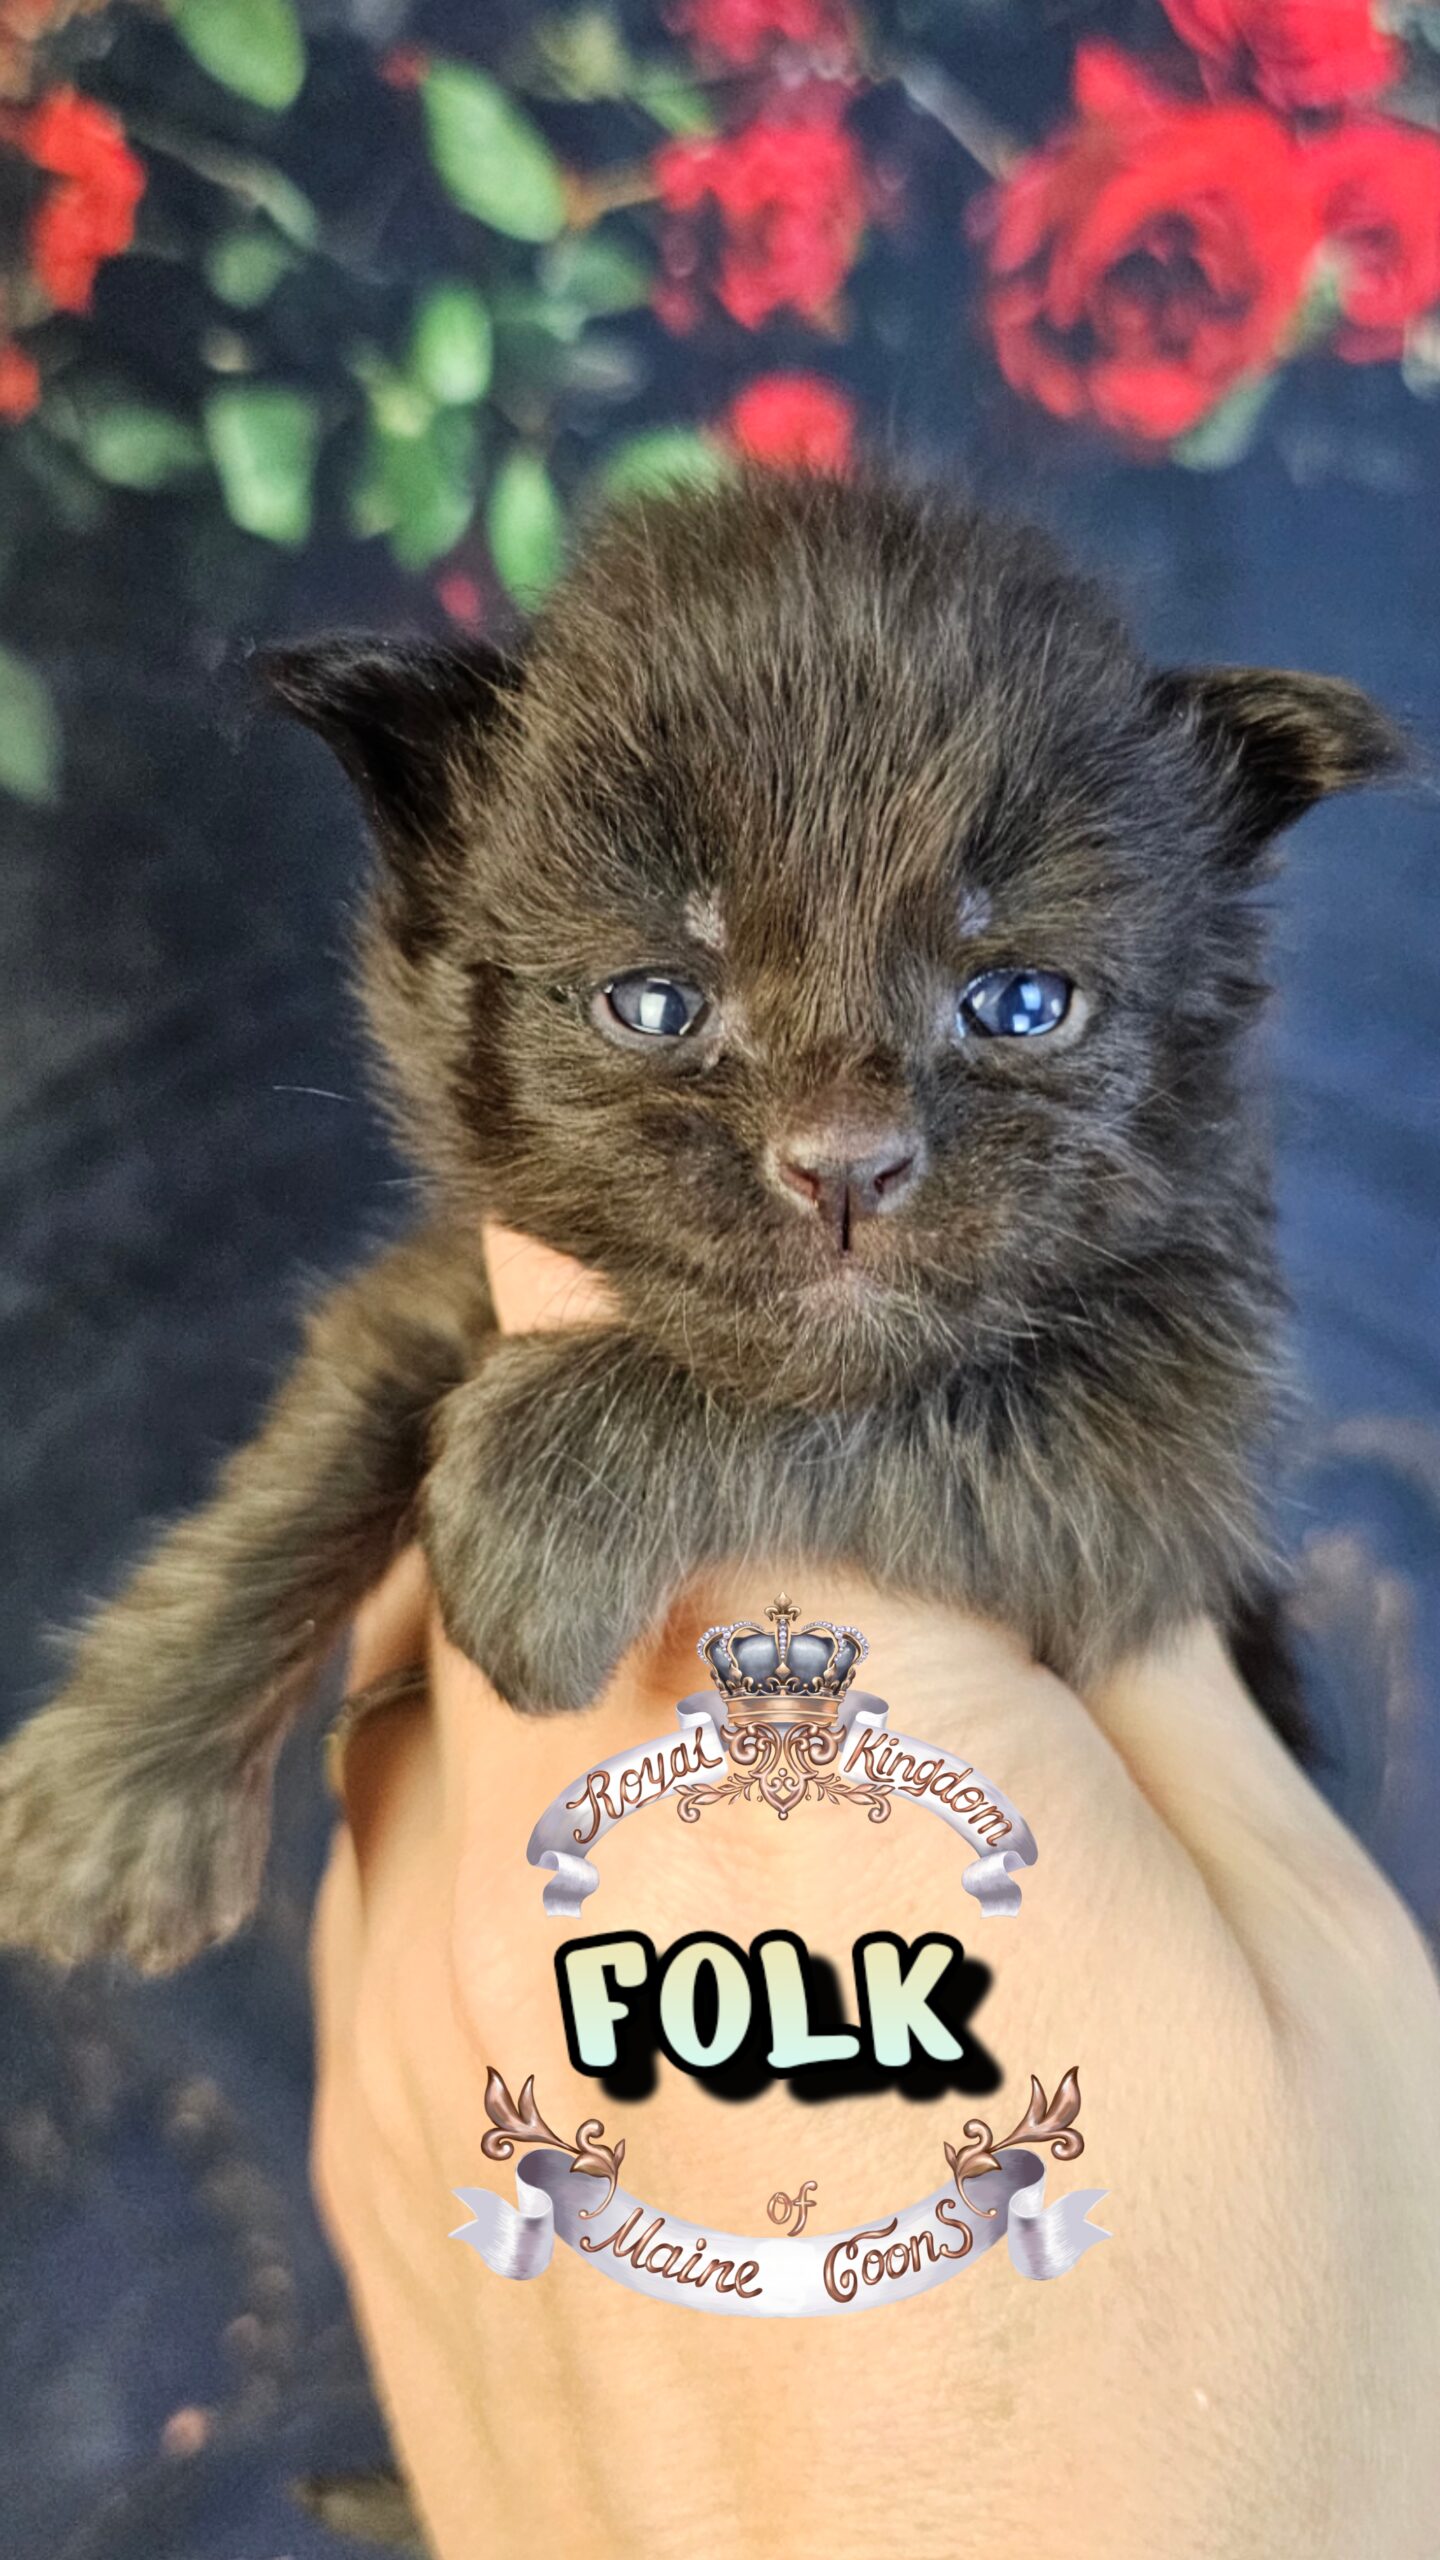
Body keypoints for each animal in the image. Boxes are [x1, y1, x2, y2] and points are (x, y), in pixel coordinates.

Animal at [0, 462, 1404, 1973]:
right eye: (658, 1003)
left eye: (1023, 1002)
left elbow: (871, 1402)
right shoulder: (459, 1272)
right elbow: (332, 1425)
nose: (845, 1166)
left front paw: (539, 1505)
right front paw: (123, 1788)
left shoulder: (1168, 1457)